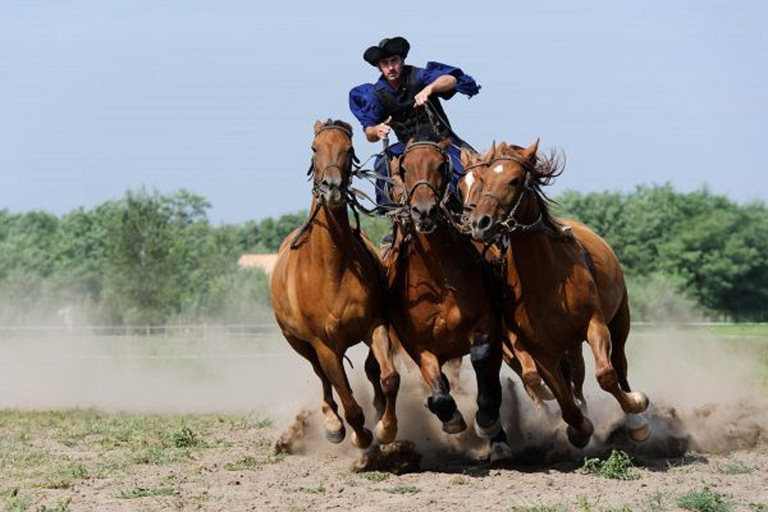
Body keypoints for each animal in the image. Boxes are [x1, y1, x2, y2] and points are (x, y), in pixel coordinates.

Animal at [270, 120, 400, 448]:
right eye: (314, 148)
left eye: (349, 149)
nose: (332, 188)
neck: (332, 269)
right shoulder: (324, 345)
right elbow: (349, 401)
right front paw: (360, 436)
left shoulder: (376, 325)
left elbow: (388, 377)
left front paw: (386, 427)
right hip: (298, 343)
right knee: (323, 377)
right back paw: (332, 422)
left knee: (368, 371)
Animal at [380, 127, 512, 460]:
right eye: (403, 169)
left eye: (441, 166)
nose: (424, 211)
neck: (438, 279)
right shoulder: (417, 345)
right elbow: (438, 389)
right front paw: (449, 417)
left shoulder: (486, 327)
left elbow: (483, 365)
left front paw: (489, 426)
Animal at [464, 141, 652, 448]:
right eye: (485, 180)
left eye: (515, 180)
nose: (480, 223)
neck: (545, 280)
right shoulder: (540, 351)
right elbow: (561, 399)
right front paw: (579, 428)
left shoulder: (595, 324)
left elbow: (606, 375)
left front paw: (636, 407)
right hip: (568, 345)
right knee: (573, 376)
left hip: (620, 318)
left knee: (619, 364)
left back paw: (637, 421)